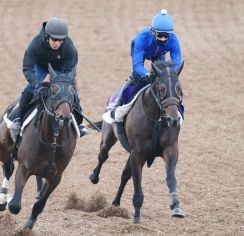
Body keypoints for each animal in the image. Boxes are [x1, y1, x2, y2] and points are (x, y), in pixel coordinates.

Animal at [0, 64, 77, 229]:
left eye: (72, 92)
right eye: (53, 91)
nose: (65, 117)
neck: (52, 140)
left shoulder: (56, 176)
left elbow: (40, 204)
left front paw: (29, 224)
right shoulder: (24, 167)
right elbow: (15, 205)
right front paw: (8, 203)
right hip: (3, 146)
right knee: (8, 168)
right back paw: (2, 200)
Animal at [89, 60, 185, 223]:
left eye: (179, 89)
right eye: (161, 88)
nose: (173, 119)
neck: (156, 120)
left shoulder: (170, 150)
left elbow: (170, 178)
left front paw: (176, 206)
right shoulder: (138, 154)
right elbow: (137, 183)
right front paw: (136, 217)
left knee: (125, 175)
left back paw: (115, 203)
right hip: (108, 137)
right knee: (103, 155)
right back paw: (94, 177)